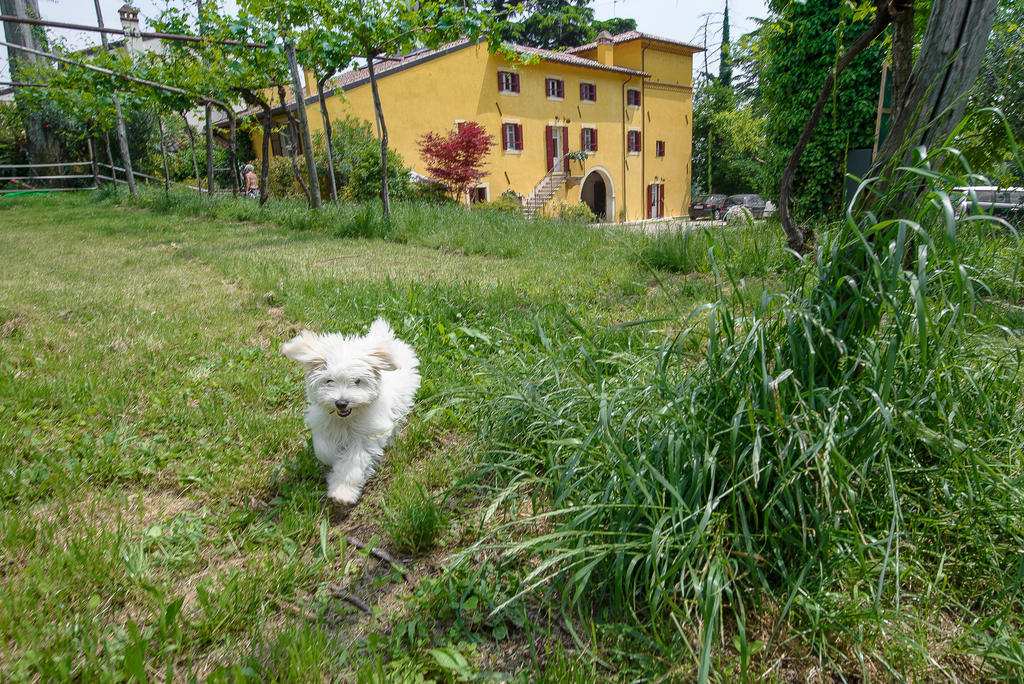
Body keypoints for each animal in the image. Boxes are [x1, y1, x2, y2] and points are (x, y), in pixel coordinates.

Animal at [280, 317, 419, 505]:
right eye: (329, 381)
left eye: (358, 381)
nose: (341, 403)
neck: (346, 419)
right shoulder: (322, 423)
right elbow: (323, 449)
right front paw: (333, 457)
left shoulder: (365, 437)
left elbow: (351, 464)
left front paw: (342, 492)